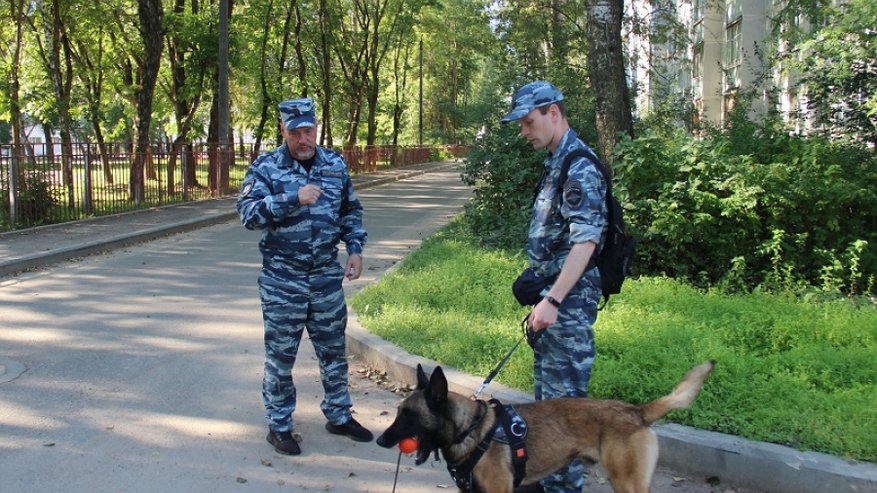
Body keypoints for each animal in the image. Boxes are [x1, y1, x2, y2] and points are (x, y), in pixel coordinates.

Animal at [374, 358, 712, 492]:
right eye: (398, 412)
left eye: (409, 415)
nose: (379, 442)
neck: (472, 429)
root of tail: (637, 412)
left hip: (628, 483)